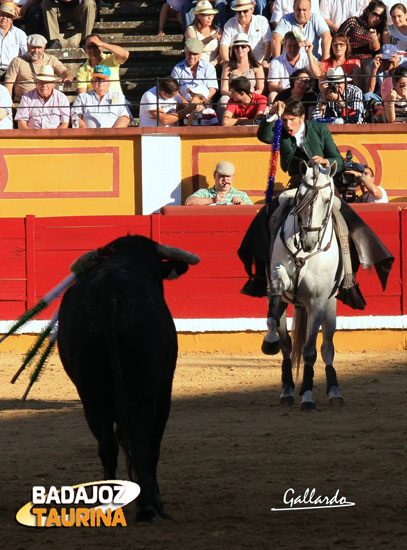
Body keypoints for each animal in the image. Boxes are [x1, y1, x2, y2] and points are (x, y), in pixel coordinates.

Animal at [57, 236, 199, 520]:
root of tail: (108, 293)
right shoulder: (163, 388)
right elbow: (149, 443)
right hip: (145, 392)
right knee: (144, 442)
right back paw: (147, 507)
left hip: (91, 393)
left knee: (107, 445)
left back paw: (110, 501)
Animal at [262, 160, 346, 410]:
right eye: (300, 196)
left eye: (327, 200)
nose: (308, 241)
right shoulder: (278, 282)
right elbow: (275, 298)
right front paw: (269, 342)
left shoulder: (318, 302)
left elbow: (310, 351)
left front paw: (308, 396)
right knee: (287, 346)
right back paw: (288, 390)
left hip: (330, 307)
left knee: (327, 347)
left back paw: (334, 391)